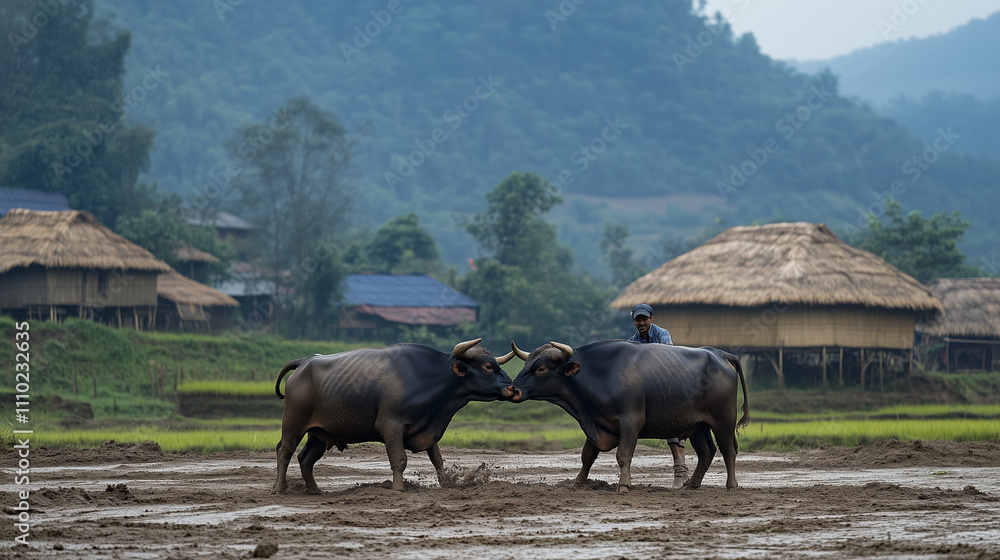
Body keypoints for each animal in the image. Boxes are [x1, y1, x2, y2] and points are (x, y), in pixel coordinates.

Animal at [273, 338, 516, 493]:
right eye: (488, 366)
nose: (512, 389)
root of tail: (305, 362)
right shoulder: (391, 426)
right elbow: (399, 460)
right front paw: (398, 488)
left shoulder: (427, 426)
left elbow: (437, 460)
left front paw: (445, 484)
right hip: (293, 424)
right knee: (284, 451)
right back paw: (280, 488)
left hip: (319, 433)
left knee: (305, 459)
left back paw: (315, 491)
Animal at [508, 339, 749, 492]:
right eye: (526, 364)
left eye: (541, 369)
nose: (513, 390)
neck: (598, 374)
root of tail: (720, 354)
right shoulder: (597, 423)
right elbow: (587, 456)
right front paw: (577, 483)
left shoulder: (630, 422)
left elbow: (623, 455)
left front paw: (623, 485)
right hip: (698, 425)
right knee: (707, 452)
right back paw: (692, 485)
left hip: (723, 420)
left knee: (728, 450)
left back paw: (731, 485)